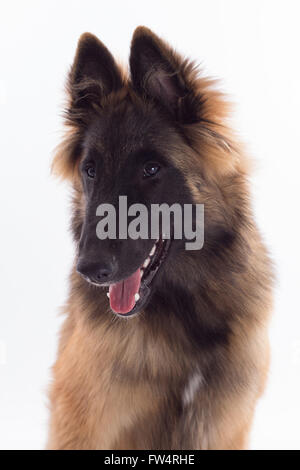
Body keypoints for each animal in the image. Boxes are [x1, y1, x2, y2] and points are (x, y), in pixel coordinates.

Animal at [47, 26, 274, 452]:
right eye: (90, 170)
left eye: (151, 169)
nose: (89, 269)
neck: (182, 310)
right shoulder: (84, 422)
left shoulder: (222, 422)